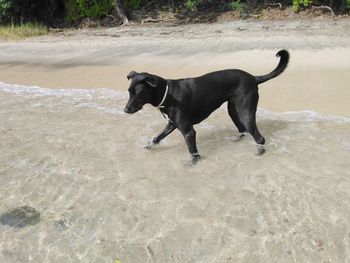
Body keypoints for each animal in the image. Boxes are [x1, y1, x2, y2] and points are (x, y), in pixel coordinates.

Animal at [124, 49, 288, 164]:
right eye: (129, 92)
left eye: (138, 93)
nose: (125, 110)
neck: (167, 93)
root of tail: (253, 78)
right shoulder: (172, 124)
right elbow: (157, 138)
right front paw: (148, 147)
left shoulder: (188, 131)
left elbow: (193, 151)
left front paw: (193, 163)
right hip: (233, 110)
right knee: (243, 130)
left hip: (245, 112)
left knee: (259, 137)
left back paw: (260, 152)